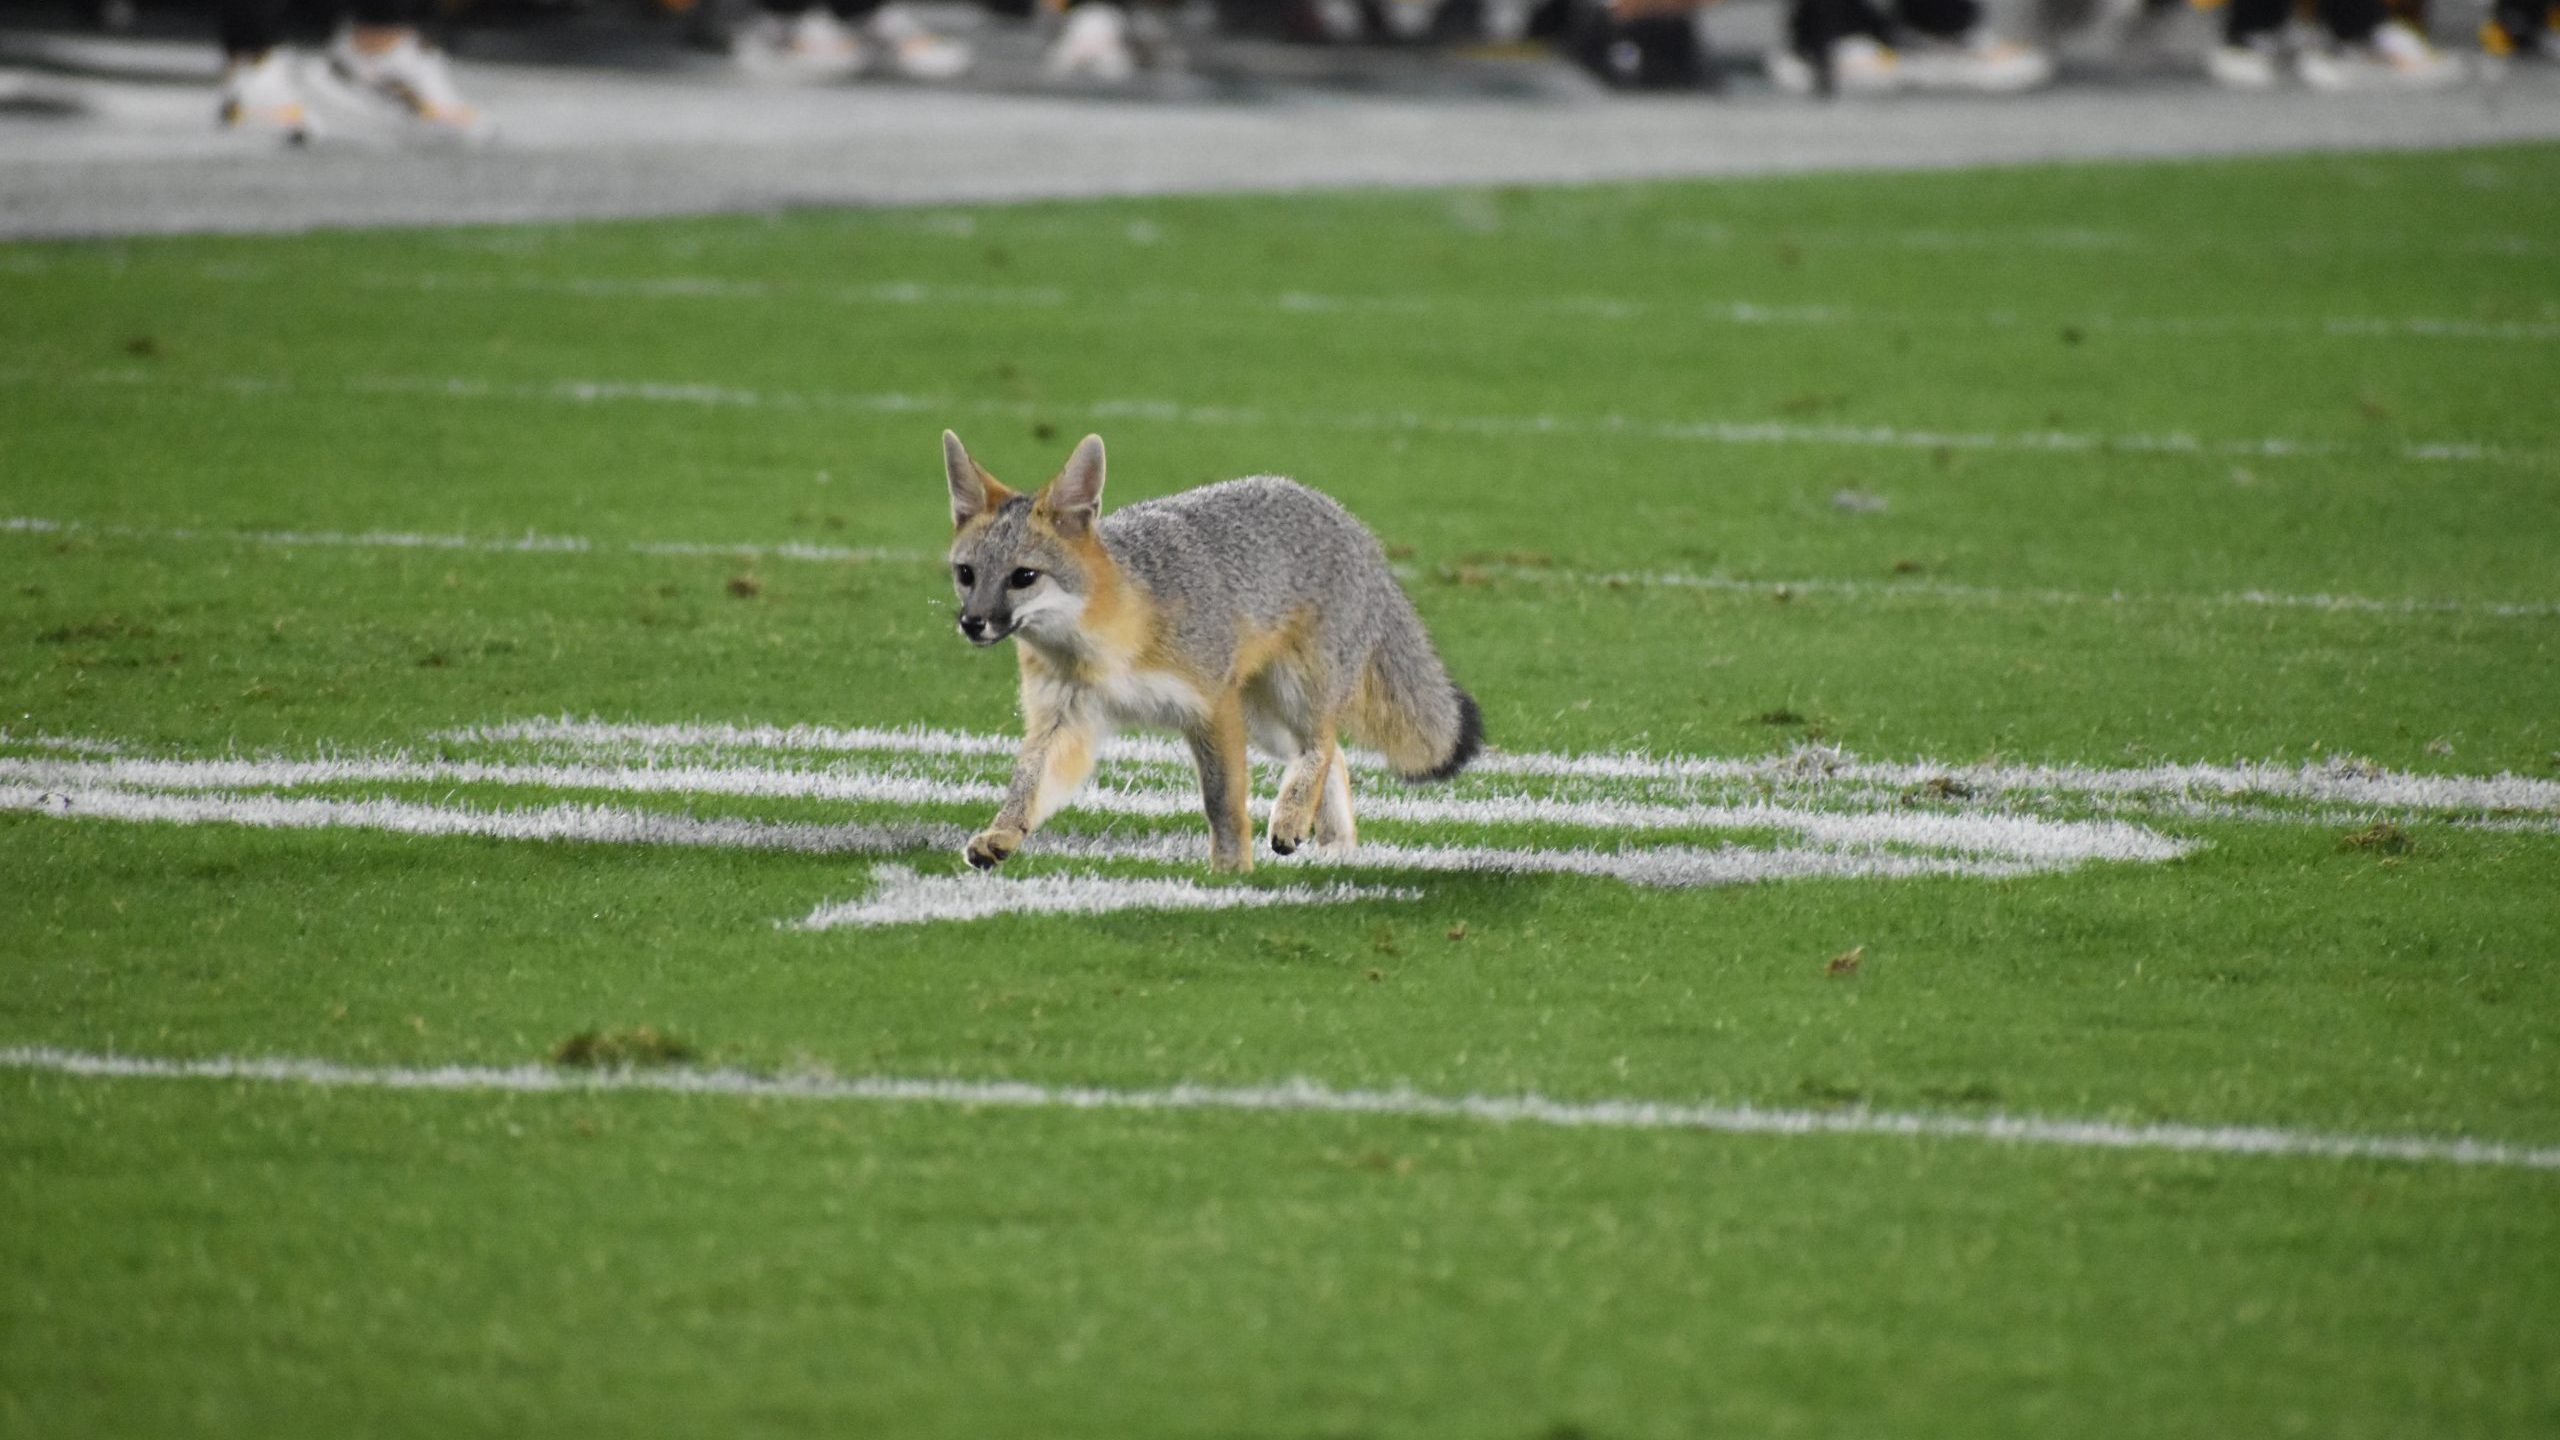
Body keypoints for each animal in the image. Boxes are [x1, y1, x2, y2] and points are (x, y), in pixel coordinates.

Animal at [940, 429, 1482, 874]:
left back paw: (1291, 818)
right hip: (1263, 719)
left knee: (1323, 743)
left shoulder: (1210, 708)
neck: (1103, 647)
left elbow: (1223, 801)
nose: (972, 623)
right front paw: (1003, 832)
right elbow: (1028, 783)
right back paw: (1332, 840)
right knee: (1337, 757)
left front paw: (1230, 871)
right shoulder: (1064, 719)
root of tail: (1350, 523)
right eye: (966, 574)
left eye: (1023, 577)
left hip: (1291, 695)